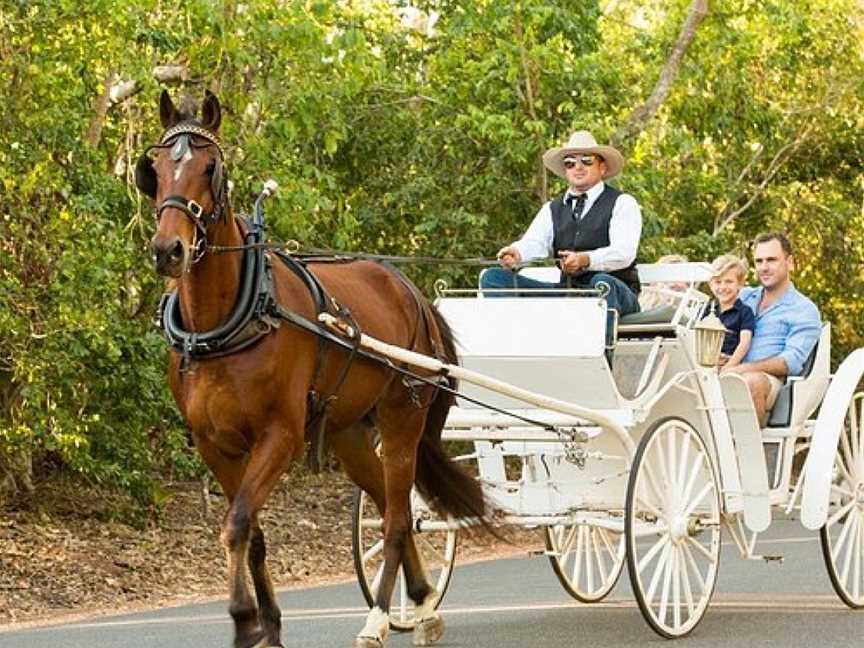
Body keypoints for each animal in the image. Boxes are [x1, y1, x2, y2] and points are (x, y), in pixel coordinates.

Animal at [135, 87, 486, 648]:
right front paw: (269, 625)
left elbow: (236, 524)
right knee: (390, 506)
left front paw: (242, 620)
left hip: (403, 417)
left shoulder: (280, 436)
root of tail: (410, 291)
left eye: (211, 167)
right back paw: (420, 602)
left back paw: (379, 617)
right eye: (157, 168)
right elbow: (252, 532)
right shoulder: (213, 444)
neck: (236, 316)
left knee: (396, 518)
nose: (169, 250)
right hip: (349, 433)